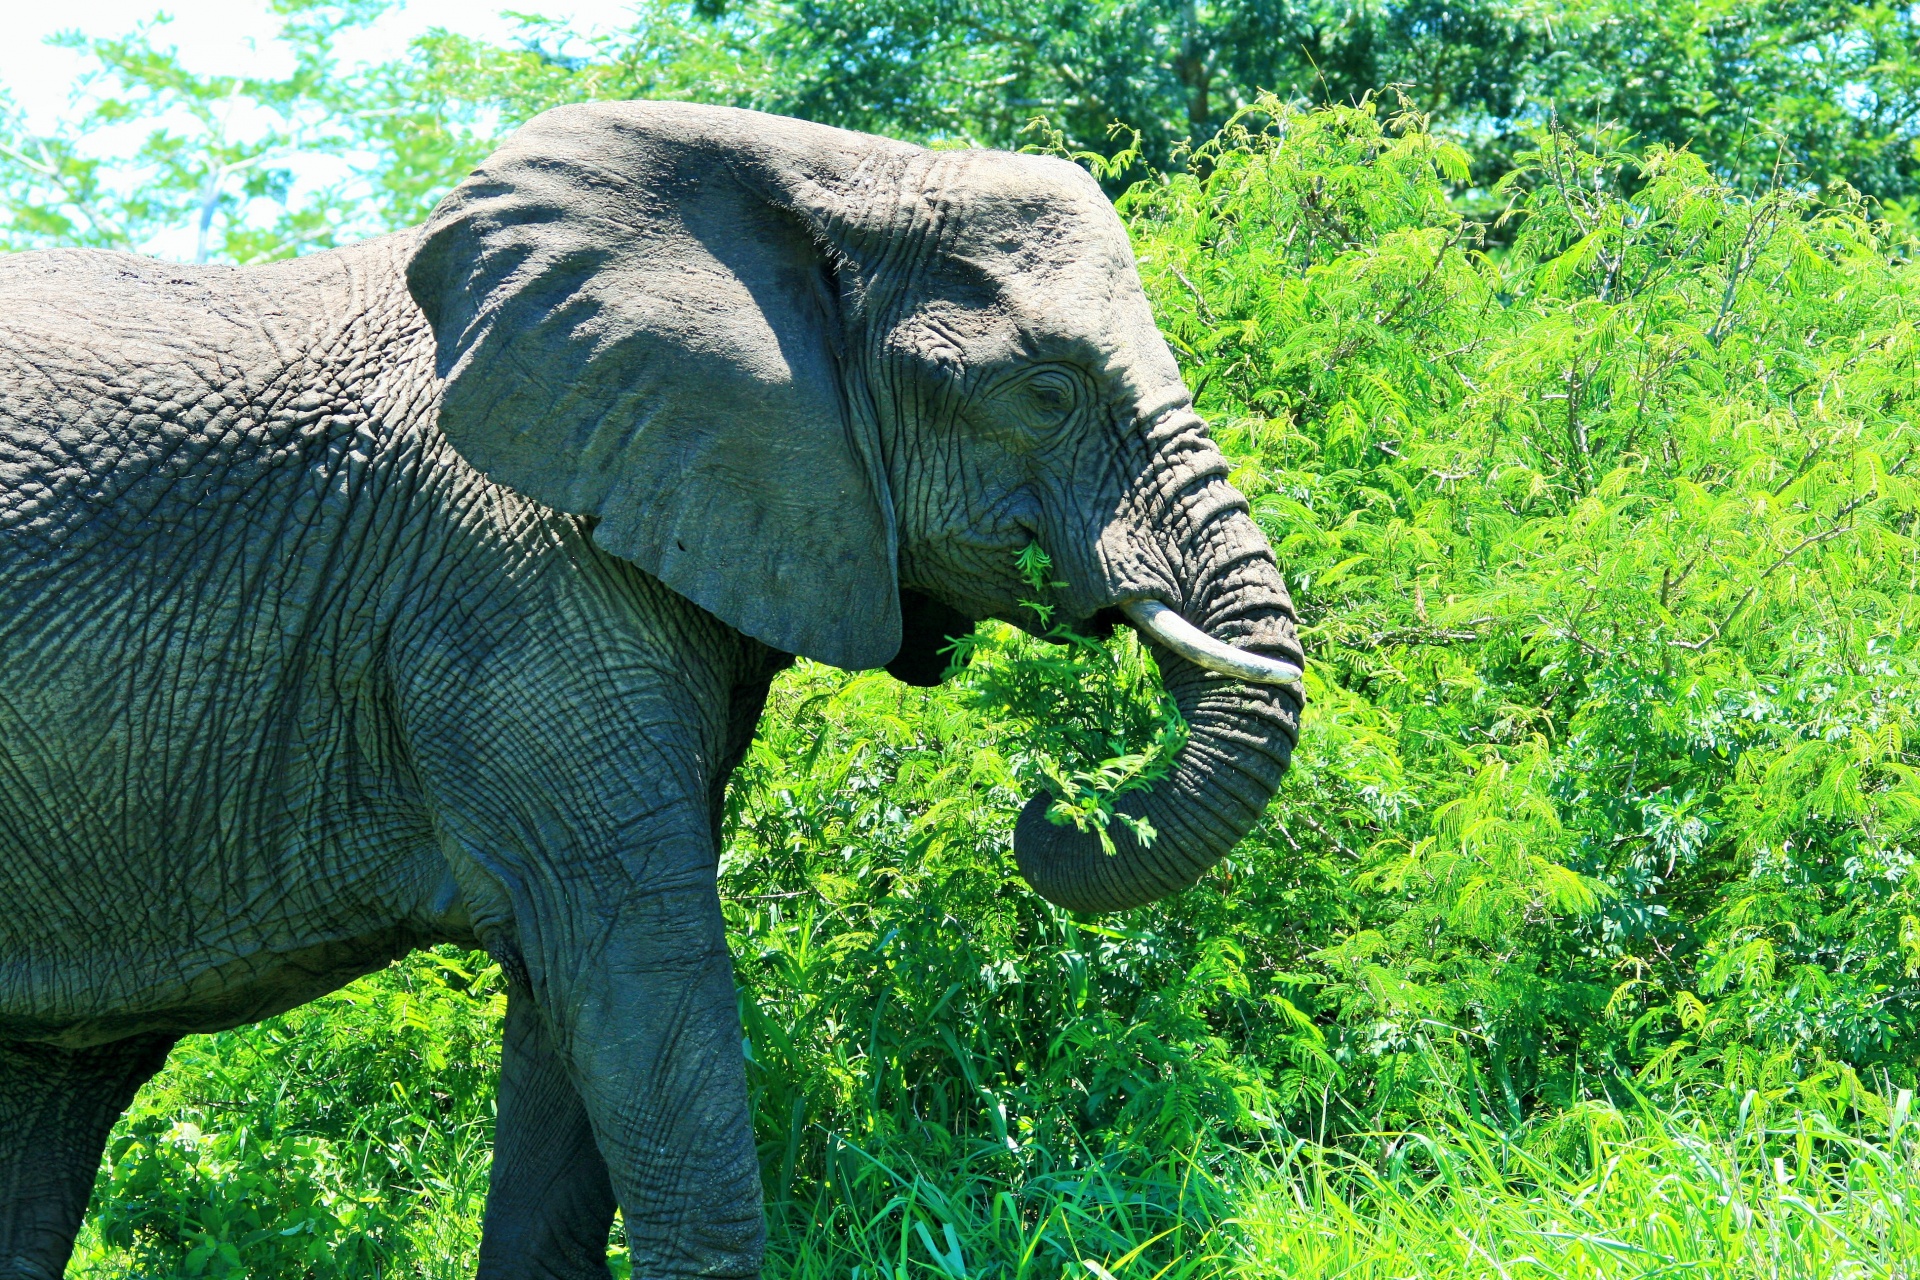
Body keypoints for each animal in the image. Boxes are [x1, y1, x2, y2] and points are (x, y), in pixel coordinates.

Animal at [0, 102, 1305, 1280]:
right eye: (1045, 388)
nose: (1046, 810)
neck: (838, 172)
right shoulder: (511, 570)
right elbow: (631, 948)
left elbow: (569, 1004)